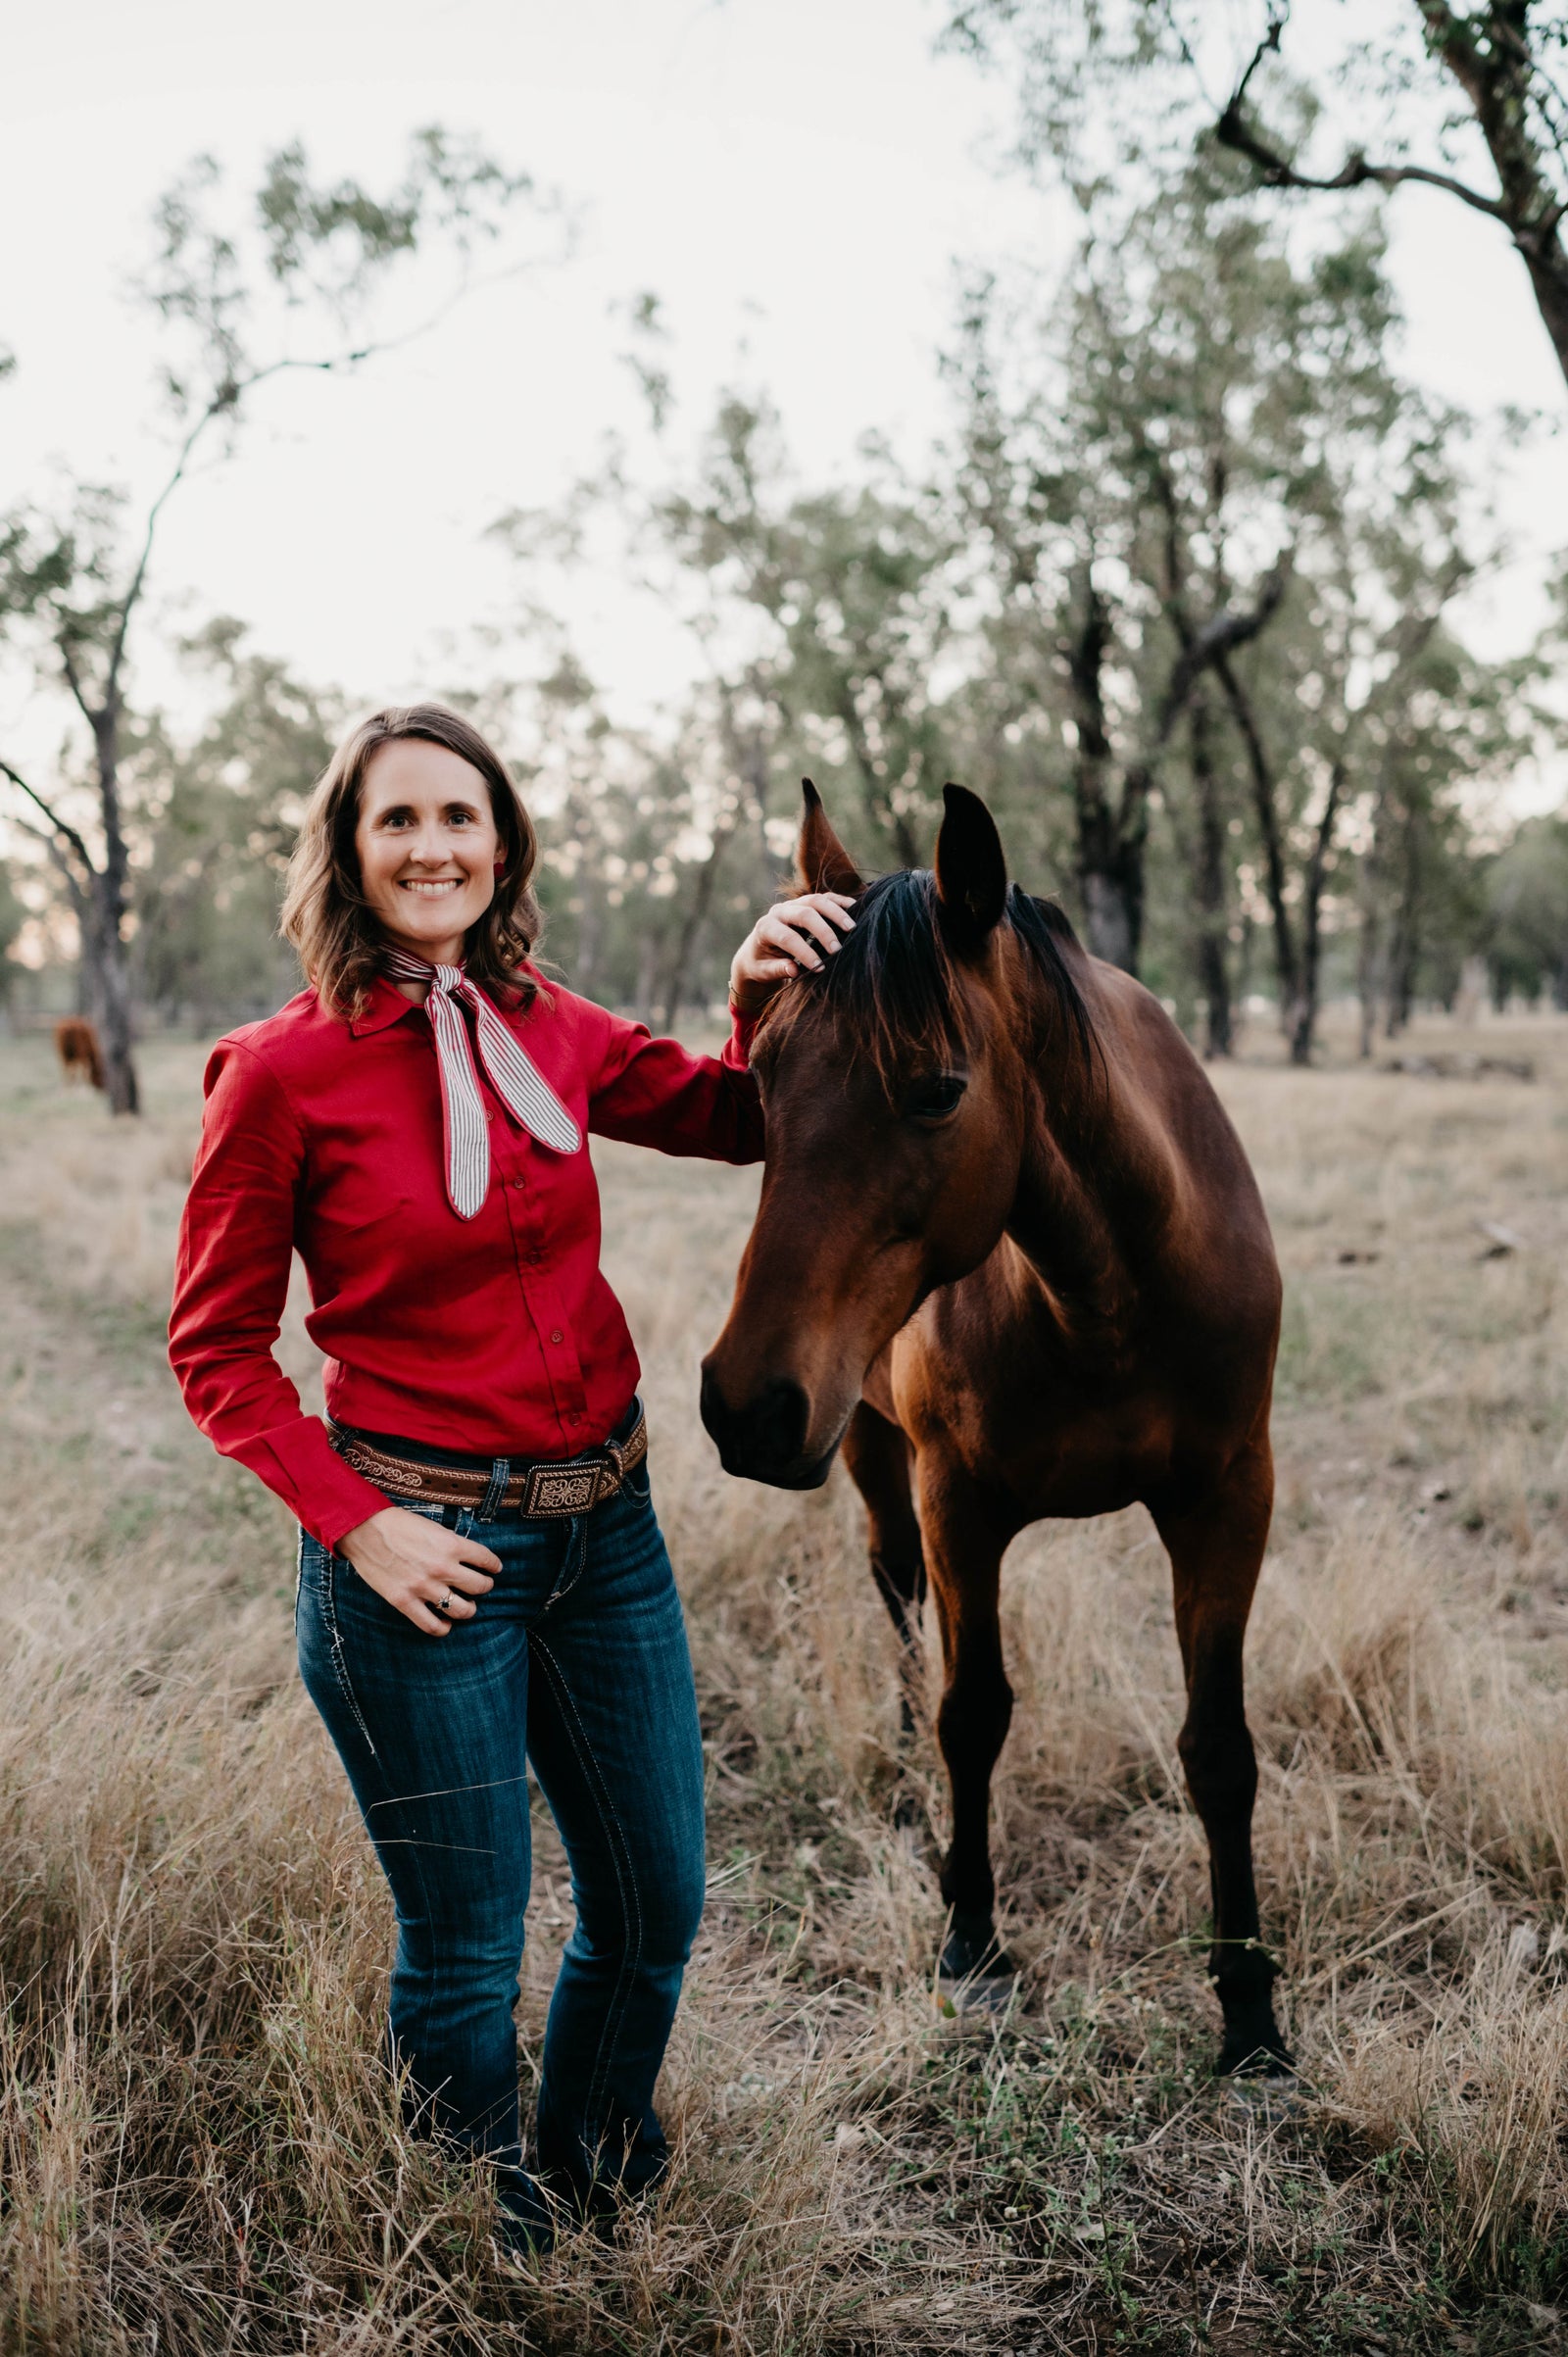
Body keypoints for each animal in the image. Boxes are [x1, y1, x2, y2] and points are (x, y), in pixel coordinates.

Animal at [701, 780, 1290, 2075]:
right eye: (754, 1078)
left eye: (935, 1087)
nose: (742, 1404)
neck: (1108, 1289)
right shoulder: (954, 1499)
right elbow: (970, 1713)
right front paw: (971, 1940)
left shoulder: (1230, 1498)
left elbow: (1218, 1749)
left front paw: (1249, 2011)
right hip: (867, 1451)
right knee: (900, 1602)